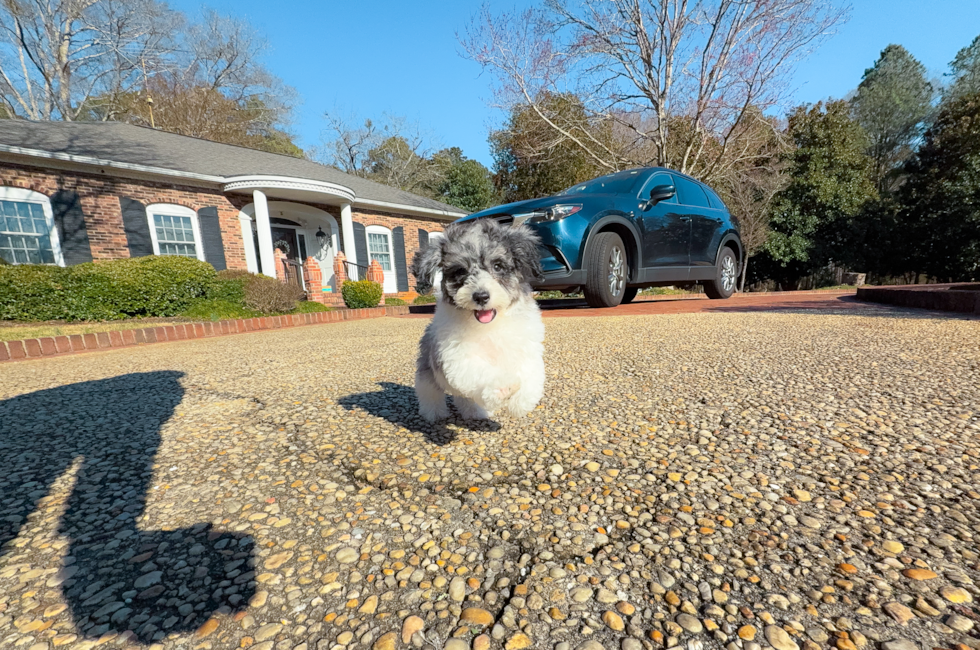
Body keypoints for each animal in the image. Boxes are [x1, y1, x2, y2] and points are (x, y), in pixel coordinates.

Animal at [410, 218, 548, 420]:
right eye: (460, 271)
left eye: (497, 266)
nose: (481, 296)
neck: (490, 326)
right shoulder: (458, 357)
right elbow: (482, 372)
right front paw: (503, 388)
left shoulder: (526, 349)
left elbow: (531, 374)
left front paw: (520, 404)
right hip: (428, 369)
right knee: (429, 390)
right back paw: (434, 413)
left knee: (464, 397)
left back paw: (476, 412)